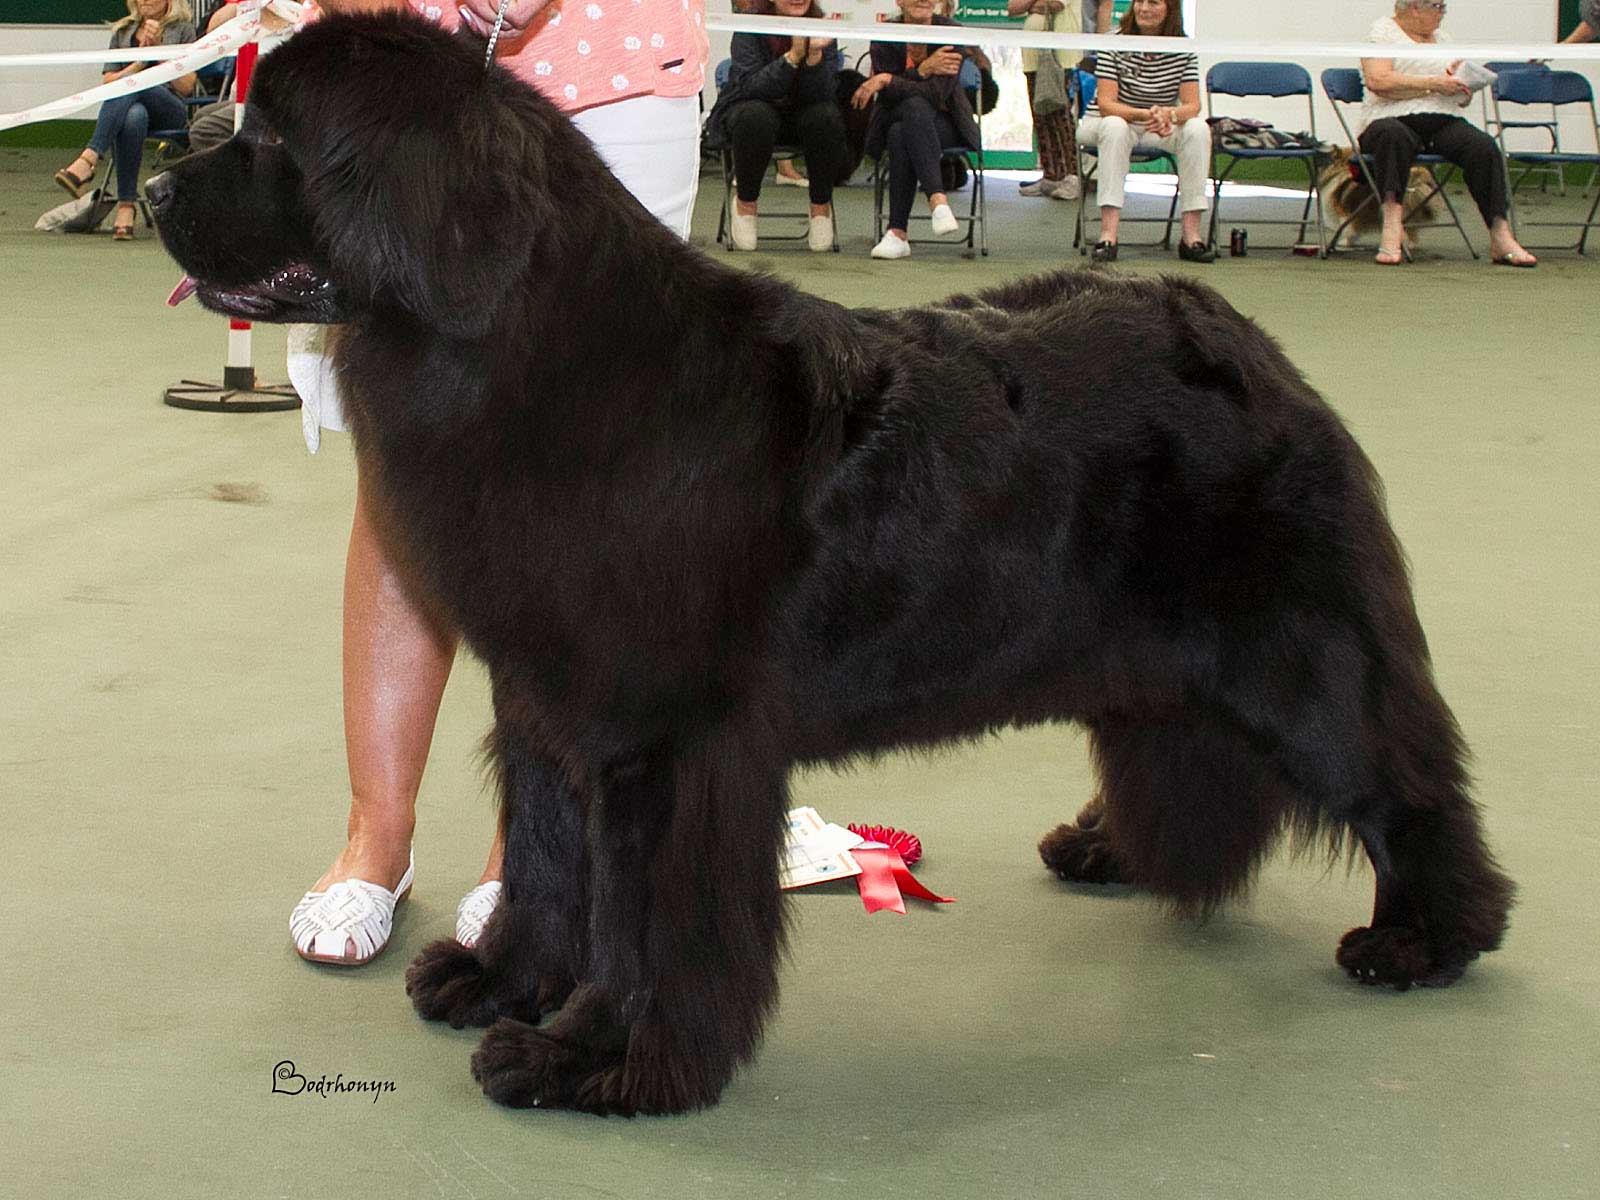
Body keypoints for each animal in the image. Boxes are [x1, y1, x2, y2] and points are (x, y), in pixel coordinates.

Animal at [151, 13, 1514, 1115]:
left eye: (269, 140)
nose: (160, 184)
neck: (520, 349)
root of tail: (1245, 341)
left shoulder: (664, 737)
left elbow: (641, 911)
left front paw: (600, 1060)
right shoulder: (547, 701)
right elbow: (543, 857)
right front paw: (501, 982)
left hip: (1295, 649)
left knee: (1400, 781)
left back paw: (1427, 937)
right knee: (1189, 747)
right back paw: (1112, 849)